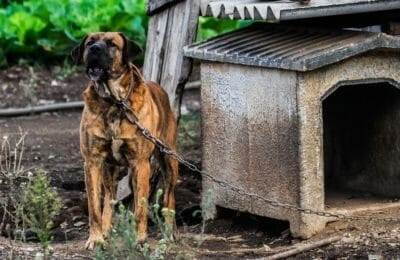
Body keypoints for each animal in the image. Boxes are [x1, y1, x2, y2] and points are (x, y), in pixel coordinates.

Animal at [72, 32, 178, 250]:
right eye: (89, 42)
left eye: (112, 44)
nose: (94, 49)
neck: (114, 101)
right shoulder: (92, 162)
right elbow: (94, 206)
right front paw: (95, 238)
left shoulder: (140, 163)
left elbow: (140, 208)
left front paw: (141, 240)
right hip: (110, 170)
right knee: (109, 199)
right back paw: (105, 232)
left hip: (169, 161)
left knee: (169, 198)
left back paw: (170, 233)